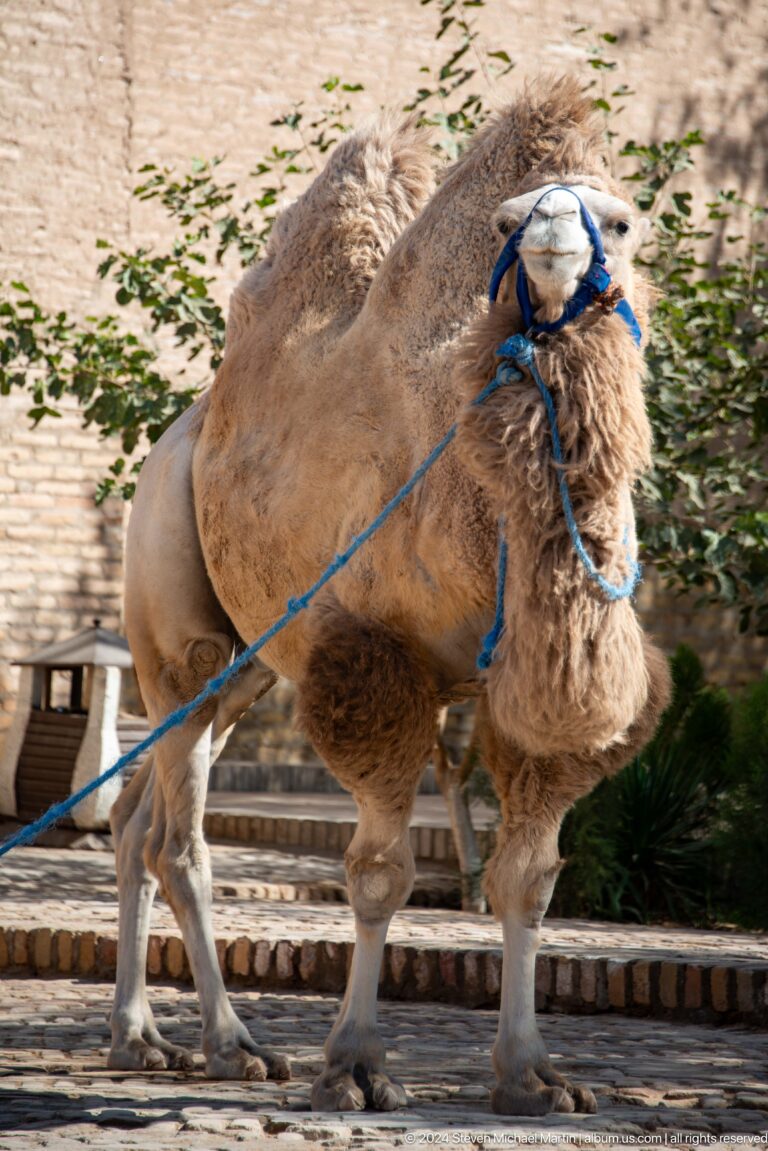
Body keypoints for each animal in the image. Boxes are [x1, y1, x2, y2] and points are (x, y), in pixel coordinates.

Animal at [108, 78, 671, 1117]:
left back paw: (141, 1039)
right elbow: (378, 874)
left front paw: (533, 1074)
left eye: (617, 218)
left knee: (135, 822)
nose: (553, 247)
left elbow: (527, 880)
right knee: (180, 840)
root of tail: (178, 438)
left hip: (250, 665)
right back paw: (233, 1044)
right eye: (507, 220)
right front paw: (357, 1064)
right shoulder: (371, 659)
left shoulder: (535, 701)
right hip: (176, 633)